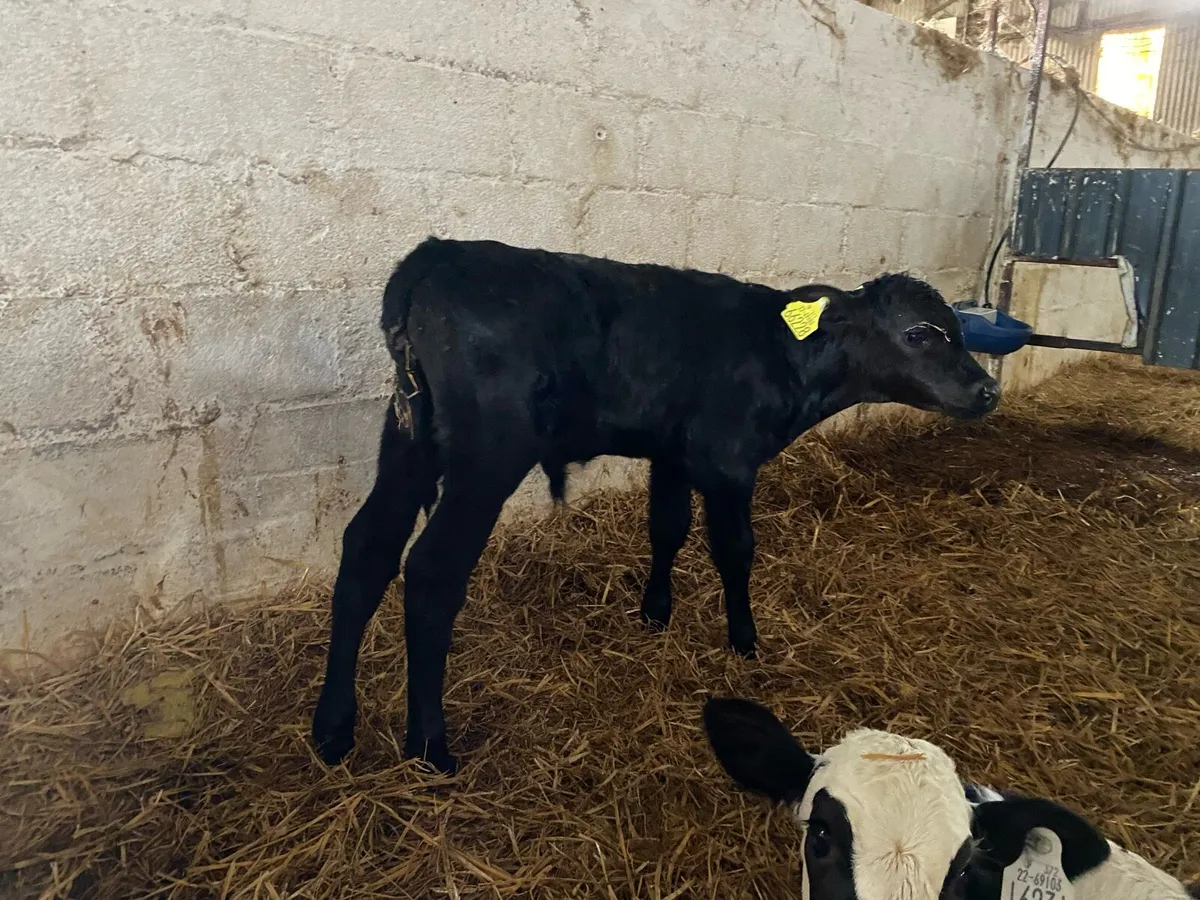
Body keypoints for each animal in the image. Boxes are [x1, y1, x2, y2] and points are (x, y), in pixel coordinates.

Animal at [311, 237, 1001, 773]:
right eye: (918, 334)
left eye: (960, 331)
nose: (989, 389)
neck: (787, 356)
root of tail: (436, 254)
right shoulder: (729, 462)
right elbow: (735, 551)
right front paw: (745, 641)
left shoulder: (671, 455)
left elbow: (666, 528)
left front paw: (654, 614)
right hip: (488, 455)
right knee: (431, 571)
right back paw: (430, 747)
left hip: (408, 438)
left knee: (368, 547)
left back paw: (333, 730)